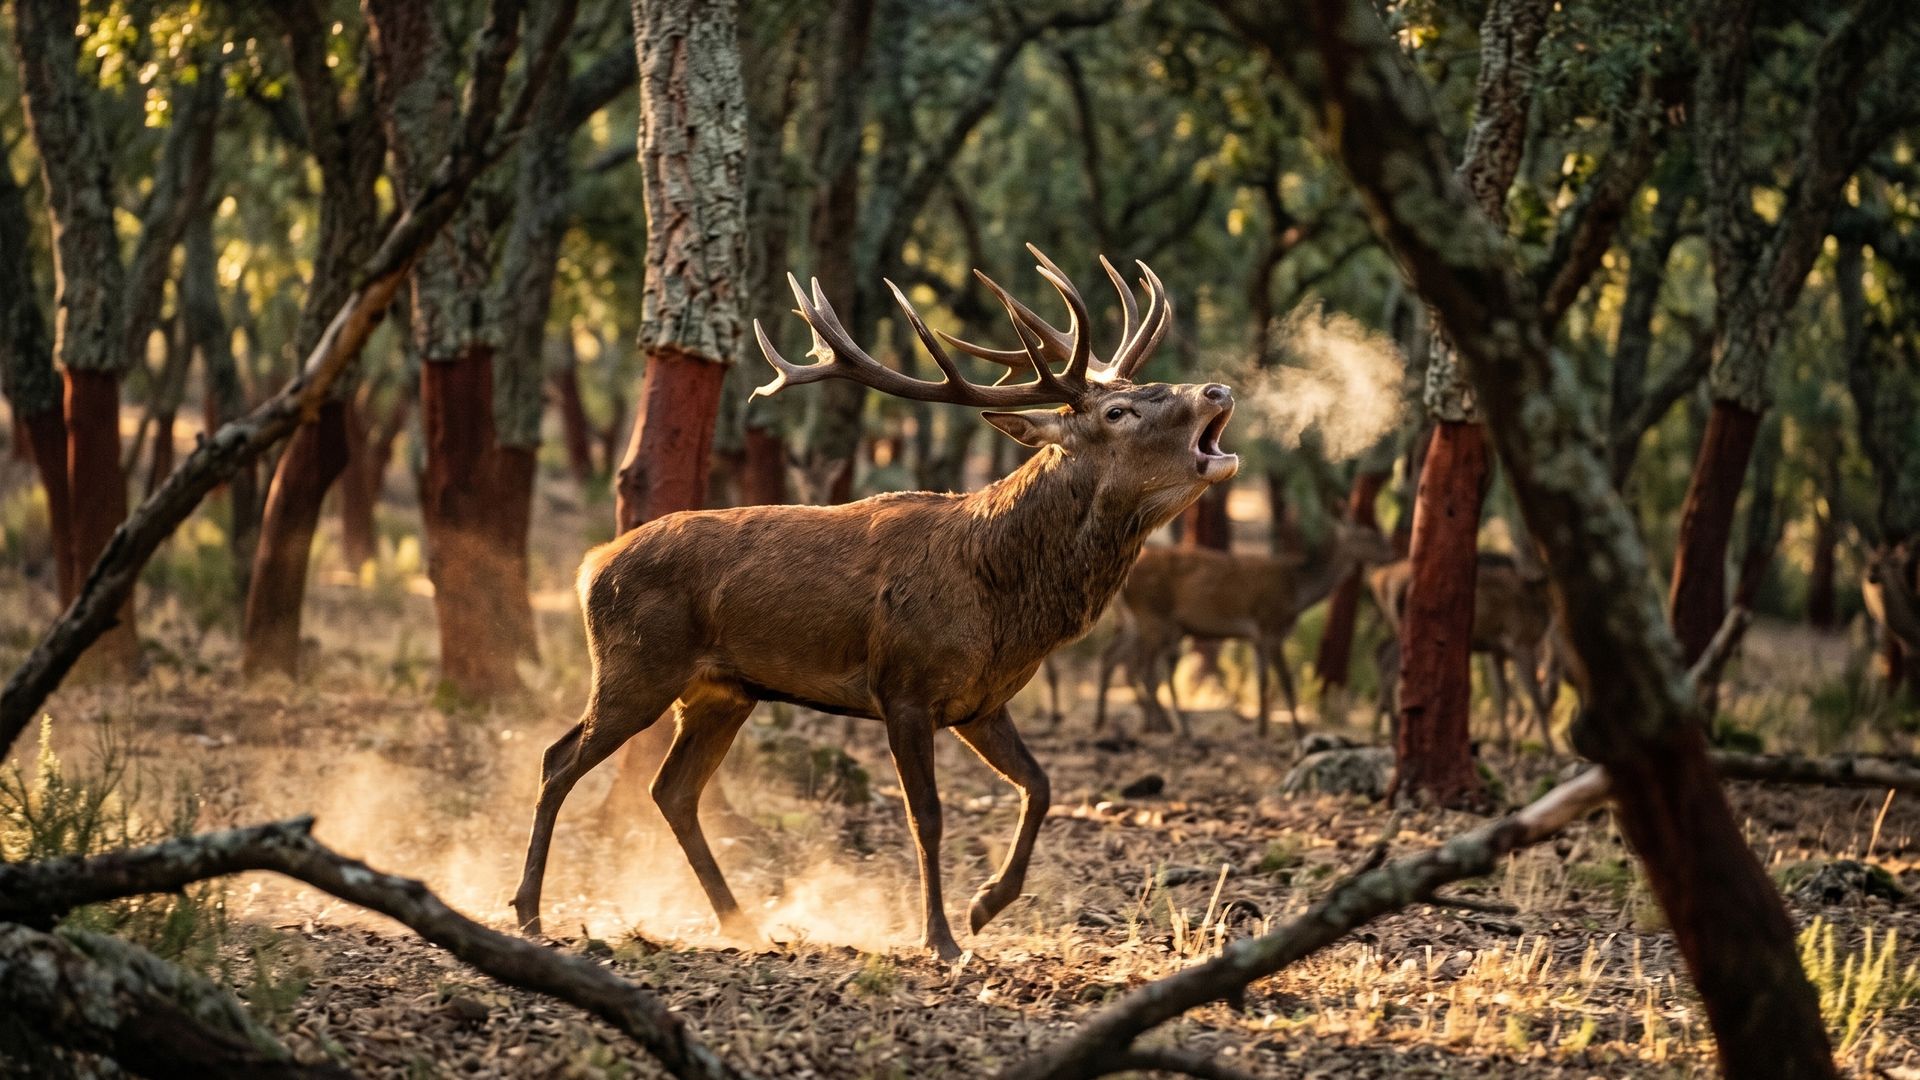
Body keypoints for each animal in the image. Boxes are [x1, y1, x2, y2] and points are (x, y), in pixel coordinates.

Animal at [512, 246, 1238, 959]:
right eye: (1117, 412)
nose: (1217, 389)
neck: (1003, 601)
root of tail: (590, 565)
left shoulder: (982, 702)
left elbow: (1040, 785)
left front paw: (986, 905)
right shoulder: (903, 687)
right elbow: (928, 815)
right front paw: (941, 937)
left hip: (723, 691)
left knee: (673, 789)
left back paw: (739, 921)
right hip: (637, 665)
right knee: (557, 760)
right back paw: (529, 911)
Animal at [1092, 523, 1395, 740]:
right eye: (1369, 534)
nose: (1394, 551)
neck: (1297, 592)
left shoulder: (1257, 638)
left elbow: (1262, 682)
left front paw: (1261, 729)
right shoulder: (1271, 626)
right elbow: (1285, 682)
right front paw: (1299, 731)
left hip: (1144, 624)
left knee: (1117, 659)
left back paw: (1117, 721)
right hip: (1154, 618)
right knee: (1141, 668)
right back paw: (1168, 727)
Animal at [1369, 553, 1561, 753]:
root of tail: (1379, 578)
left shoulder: (1497, 650)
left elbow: (1501, 694)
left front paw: (1505, 742)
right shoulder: (1521, 641)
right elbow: (1535, 697)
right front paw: (1550, 748)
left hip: (1396, 627)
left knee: (1383, 654)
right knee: (1391, 669)